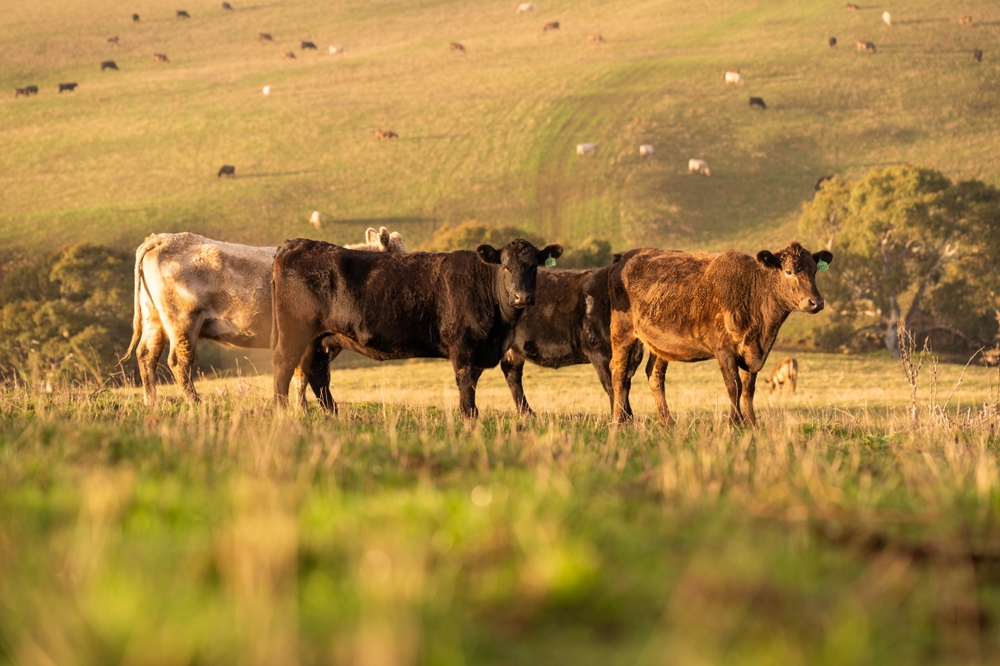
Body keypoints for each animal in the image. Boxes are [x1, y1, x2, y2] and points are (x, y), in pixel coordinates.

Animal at [123, 228, 408, 406]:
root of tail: (163, 238)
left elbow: (300, 376)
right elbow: (303, 376)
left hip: (154, 319)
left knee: (146, 355)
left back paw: (151, 403)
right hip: (183, 321)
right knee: (179, 362)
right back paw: (195, 403)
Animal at [271, 237, 561, 416]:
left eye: (533, 267)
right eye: (506, 267)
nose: (522, 297)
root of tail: (295, 244)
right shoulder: (463, 348)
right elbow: (466, 388)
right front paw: (468, 420)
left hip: (319, 339)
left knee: (316, 374)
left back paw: (333, 415)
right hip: (294, 334)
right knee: (284, 367)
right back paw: (281, 411)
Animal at [500, 264, 645, 415]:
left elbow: (624, 386)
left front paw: (628, 416)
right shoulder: (599, 352)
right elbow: (612, 385)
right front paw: (621, 417)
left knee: (512, 373)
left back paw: (527, 413)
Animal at [607, 242, 833, 425]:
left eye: (814, 271)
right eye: (789, 271)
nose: (816, 302)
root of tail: (625, 258)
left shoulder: (753, 352)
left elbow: (748, 388)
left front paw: (752, 424)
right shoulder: (724, 349)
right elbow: (734, 386)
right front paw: (734, 422)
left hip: (660, 345)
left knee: (654, 375)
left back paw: (667, 422)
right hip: (622, 332)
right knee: (619, 373)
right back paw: (619, 421)